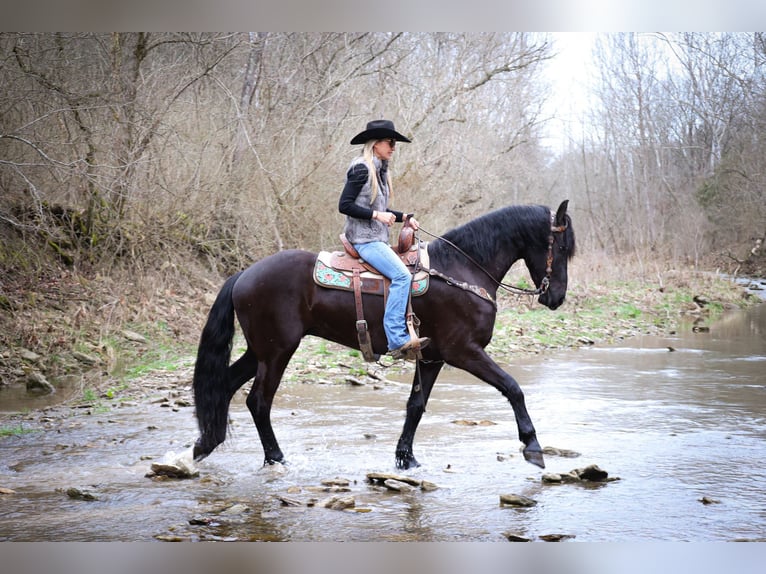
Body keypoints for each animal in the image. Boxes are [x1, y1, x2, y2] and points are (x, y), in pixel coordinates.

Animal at [192, 200, 576, 470]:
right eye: (561, 247)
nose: (556, 297)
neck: (462, 270)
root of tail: (244, 274)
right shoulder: (463, 352)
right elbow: (512, 387)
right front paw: (532, 446)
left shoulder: (432, 358)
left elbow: (415, 406)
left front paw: (406, 457)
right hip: (277, 352)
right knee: (259, 401)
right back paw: (275, 457)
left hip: (260, 351)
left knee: (225, 386)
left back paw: (205, 444)